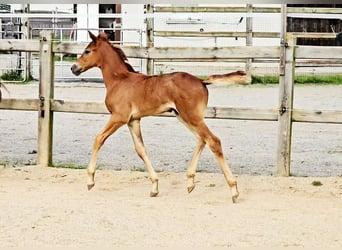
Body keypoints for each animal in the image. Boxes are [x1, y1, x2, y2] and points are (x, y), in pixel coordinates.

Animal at [71, 31, 246, 203]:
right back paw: (190, 182)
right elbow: (140, 149)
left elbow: (98, 139)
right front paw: (154, 187)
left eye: (87, 51)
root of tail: (201, 81)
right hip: (184, 117)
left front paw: (90, 181)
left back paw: (234, 190)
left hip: (191, 117)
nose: (74, 67)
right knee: (202, 139)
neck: (119, 80)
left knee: (213, 141)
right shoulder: (133, 120)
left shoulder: (119, 117)